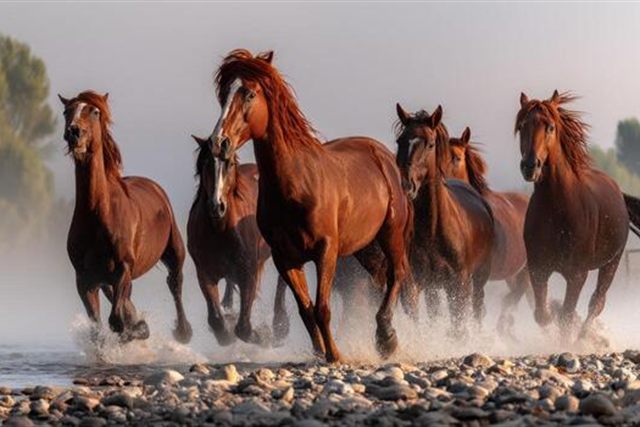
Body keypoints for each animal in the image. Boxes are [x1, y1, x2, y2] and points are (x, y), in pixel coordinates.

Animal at [58, 91, 192, 343]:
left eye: (94, 111)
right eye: (66, 111)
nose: (73, 132)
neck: (98, 215)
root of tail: (154, 186)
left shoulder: (123, 269)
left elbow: (116, 321)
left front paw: (139, 329)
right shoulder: (85, 280)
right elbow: (98, 329)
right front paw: (137, 326)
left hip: (174, 251)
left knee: (175, 283)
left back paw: (183, 331)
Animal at [208, 49, 412, 362]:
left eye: (249, 94)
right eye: (223, 97)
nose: (219, 143)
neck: (296, 185)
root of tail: (382, 155)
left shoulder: (326, 251)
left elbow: (322, 308)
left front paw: (336, 355)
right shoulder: (285, 259)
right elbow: (306, 310)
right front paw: (319, 353)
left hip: (391, 233)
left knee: (396, 274)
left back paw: (386, 339)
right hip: (364, 246)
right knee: (380, 279)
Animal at [394, 104, 494, 334]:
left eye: (430, 144)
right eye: (400, 141)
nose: (406, 184)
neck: (432, 230)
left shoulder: (459, 285)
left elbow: (459, 324)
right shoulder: (415, 284)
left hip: (479, 279)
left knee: (477, 308)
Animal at [516, 90, 640, 340]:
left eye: (550, 126)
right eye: (522, 126)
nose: (530, 166)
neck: (557, 209)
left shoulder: (577, 275)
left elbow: (566, 315)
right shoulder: (538, 268)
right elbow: (542, 314)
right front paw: (551, 316)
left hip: (611, 263)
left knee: (597, 302)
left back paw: (583, 337)